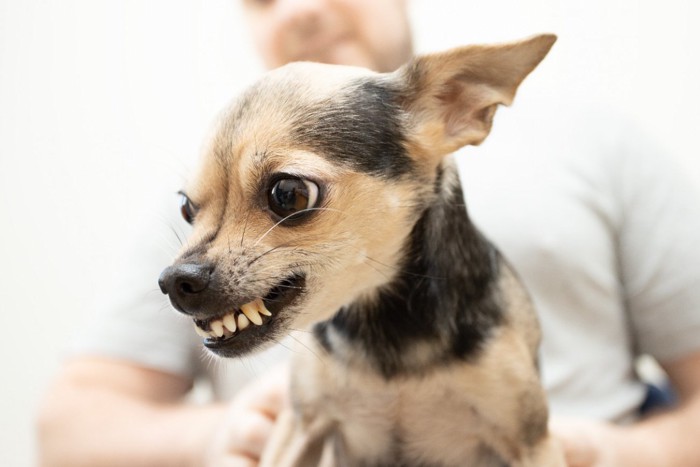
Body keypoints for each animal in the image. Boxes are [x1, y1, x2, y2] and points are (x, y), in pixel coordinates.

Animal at [159, 33, 564, 467]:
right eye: (186, 208)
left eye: (289, 193)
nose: (174, 281)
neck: (384, 326)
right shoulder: (298, 426)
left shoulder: (532, 444)